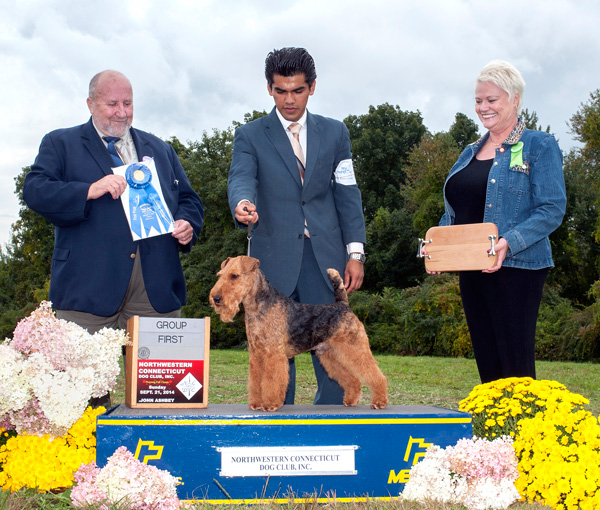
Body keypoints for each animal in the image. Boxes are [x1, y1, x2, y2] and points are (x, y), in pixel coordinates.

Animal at [211, 256, 390, 412]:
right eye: (220, 275)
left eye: (234, 275)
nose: (216, 298)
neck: (258, 307)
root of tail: (343, 305)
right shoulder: (256, 354)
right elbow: (257, 381)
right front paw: (256, 403)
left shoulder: (273, 353)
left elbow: (271, 380)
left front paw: (270, 404)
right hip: (331, 355)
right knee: (352, 379)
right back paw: (350, 400)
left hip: (354, 348)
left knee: (376, 375)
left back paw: (379, 402)